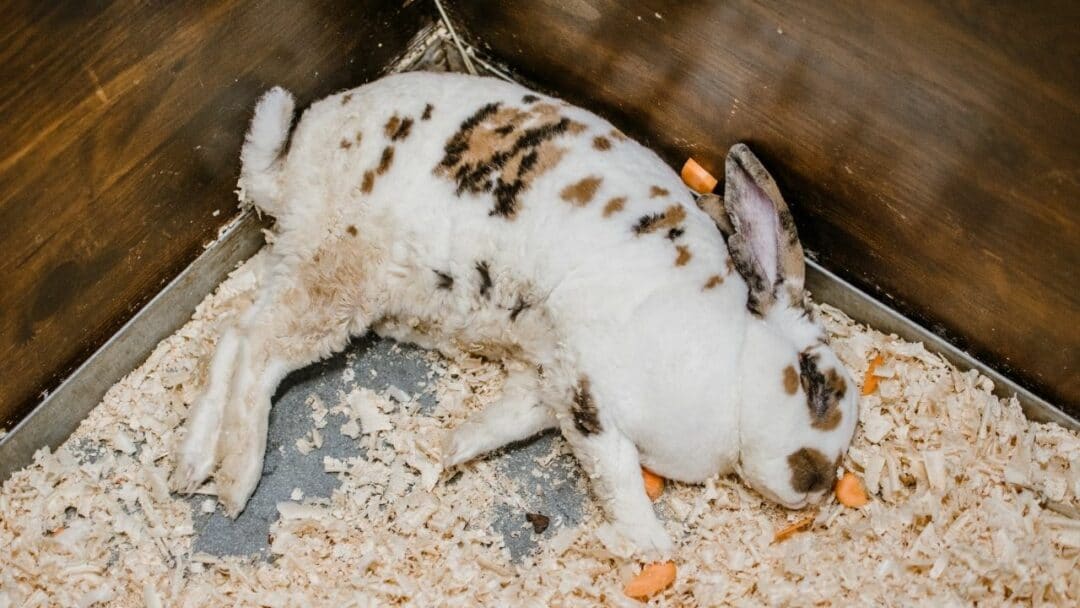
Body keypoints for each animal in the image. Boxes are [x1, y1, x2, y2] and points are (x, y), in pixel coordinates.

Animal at [170, 71, 859, 560]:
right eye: (815, 383)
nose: (815, 481)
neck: (731, 364)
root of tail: (292, 172)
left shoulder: (548, 382)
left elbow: (506, 420)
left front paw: (449, 449)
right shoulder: (588, 393)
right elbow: (617, 475)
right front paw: (652, 547)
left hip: (304, 266)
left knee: (233, 333)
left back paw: (190, 467)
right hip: (341, 278)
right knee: (258, 351)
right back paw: (235, 479)